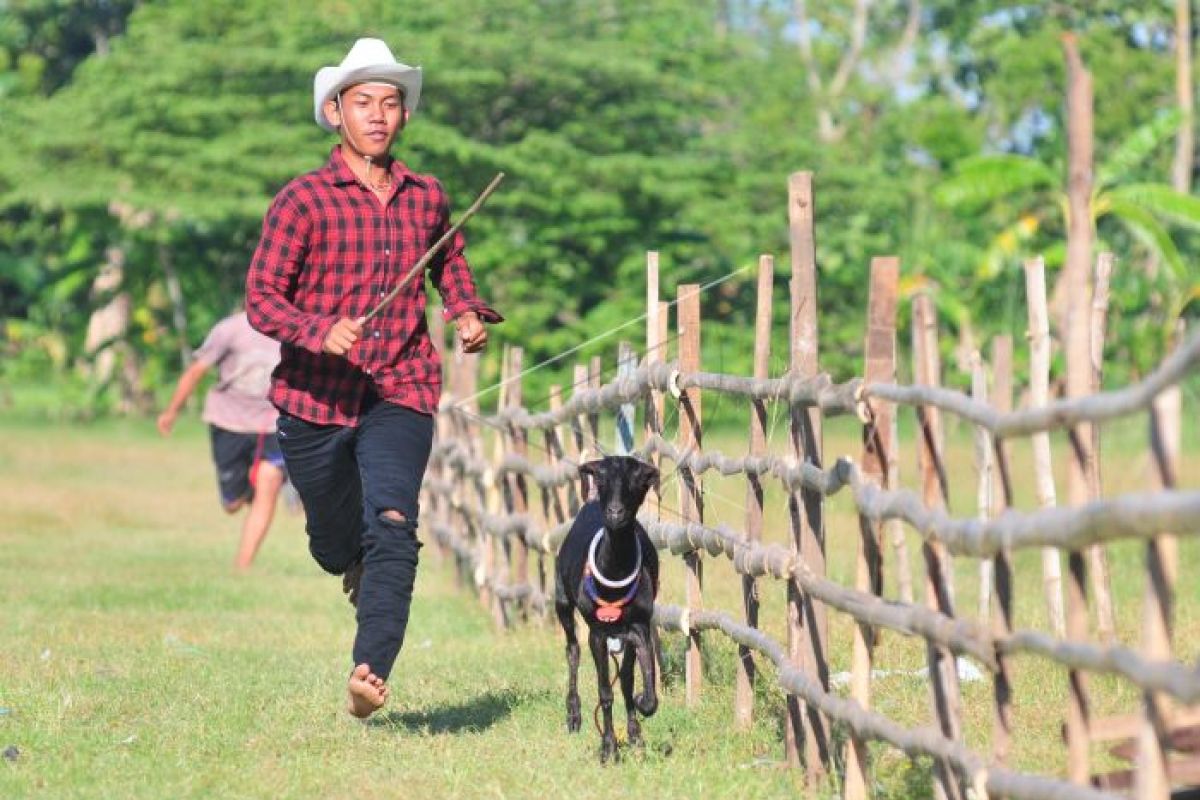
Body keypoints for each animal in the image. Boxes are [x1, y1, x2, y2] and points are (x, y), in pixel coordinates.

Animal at [554, 455, 662, 762]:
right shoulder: (598, 633)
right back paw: (574, 714)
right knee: (572, 650)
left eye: (637, 481)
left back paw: (635, 733)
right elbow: (605, 692)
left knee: (624, 676)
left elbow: (640, 685)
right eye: (601, 479)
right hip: (562, 602)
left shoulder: (639, 626)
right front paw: (609, 748)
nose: (615, 513)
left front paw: (640, 708)